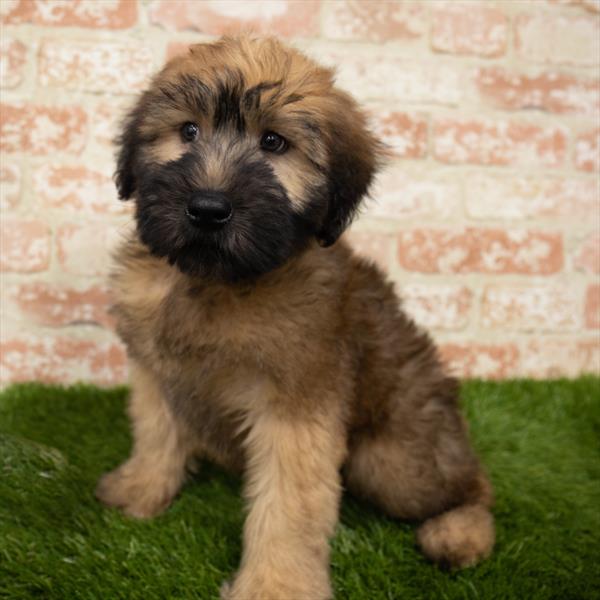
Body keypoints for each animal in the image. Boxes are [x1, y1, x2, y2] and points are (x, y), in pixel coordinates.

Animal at [96, 35, 494, 596]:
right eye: (188, 130)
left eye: (274, 143)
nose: (207, 208)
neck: (217, 282)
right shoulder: (157, 373)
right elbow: (155, 434)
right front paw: (140, 490)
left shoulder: (296, 405)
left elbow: (289, 505)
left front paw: (275, 586)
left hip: (394, 463)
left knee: (472, 484)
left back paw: (460, 532)